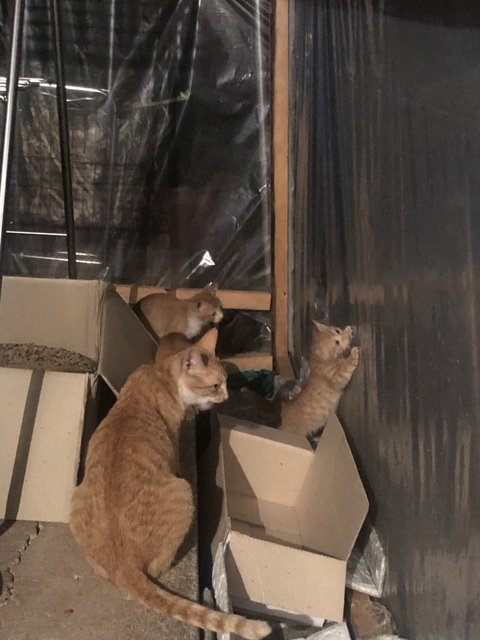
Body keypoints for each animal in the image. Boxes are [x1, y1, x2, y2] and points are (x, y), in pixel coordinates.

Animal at [69, 329, 271, 640]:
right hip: (185, 492)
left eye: (226, 382)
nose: (226, 396)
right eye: (216, 385)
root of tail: (122, 565)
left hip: (76, 499)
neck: (161, 374)